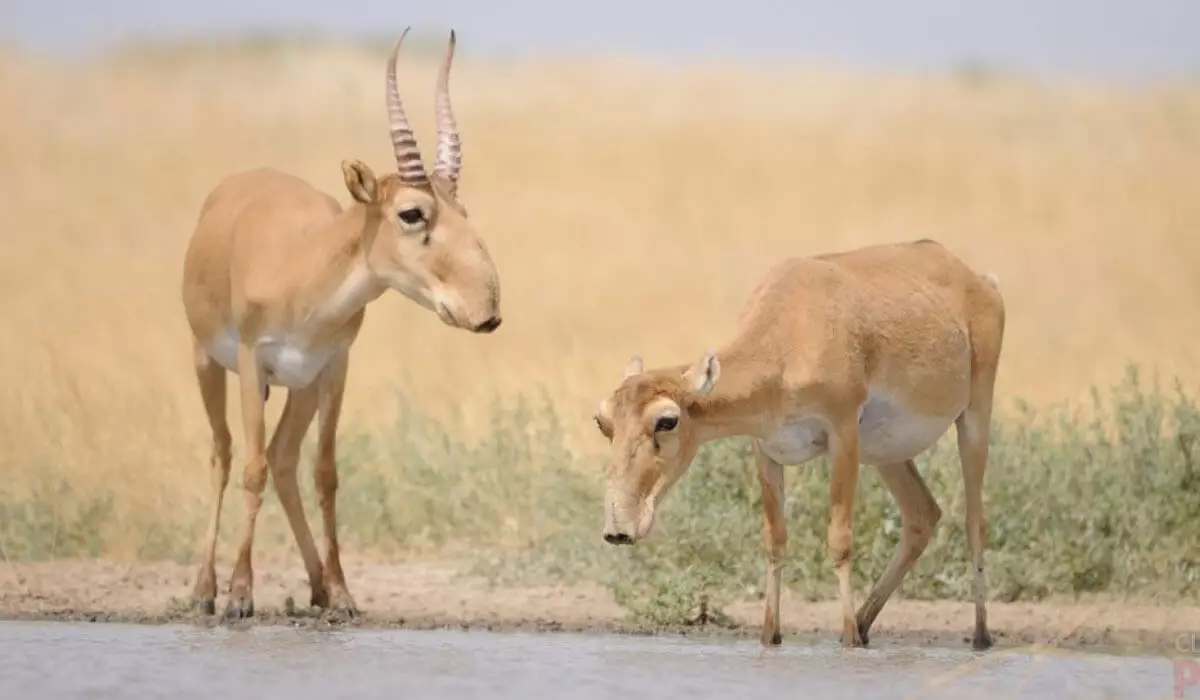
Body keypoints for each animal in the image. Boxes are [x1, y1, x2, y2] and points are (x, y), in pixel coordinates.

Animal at [177, 28, 496, 619]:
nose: (486, 309)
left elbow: (325, 473)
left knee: (283, 459)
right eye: (412, 212)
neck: (304, 268)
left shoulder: (334, 368)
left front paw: (344, 594)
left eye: (462, 211)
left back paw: (318, 587)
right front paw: (239, 595)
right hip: (207, 363)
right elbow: (251, 469)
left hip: (299, 388)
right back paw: (206, 590)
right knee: (225, 454)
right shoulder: (253, 363)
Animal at [595, 241, 1008, 653]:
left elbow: (839, 539)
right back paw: (865, 623)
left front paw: (847, 640)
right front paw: (771, 636)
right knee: (922, 514)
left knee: (975, 523)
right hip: (888, 454)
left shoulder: (843, 434)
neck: (791, 328)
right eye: (602, 421)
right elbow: (774, 539)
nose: (618, 528)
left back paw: (980, 635)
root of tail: (980, 281)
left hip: (973, 418)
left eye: (667, 420)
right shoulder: (765, 449)